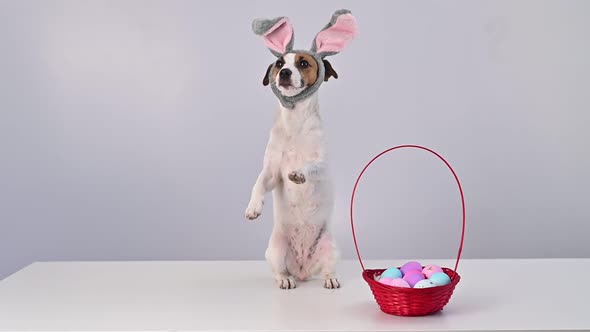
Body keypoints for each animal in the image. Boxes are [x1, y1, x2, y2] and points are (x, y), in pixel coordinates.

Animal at [244, 9, 356, 290]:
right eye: (279, 63)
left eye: (303, 63)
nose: (284, 72)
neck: (295, 122)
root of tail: (304, 271)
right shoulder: (271, 171)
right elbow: (259, 183)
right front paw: (253, 207)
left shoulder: (322, 165)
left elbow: (311, 166)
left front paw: (298, 173)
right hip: (274, 249)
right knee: (279, 271)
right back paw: (285, 279)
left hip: (331, 248)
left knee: (327, 270)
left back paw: (330, 279)